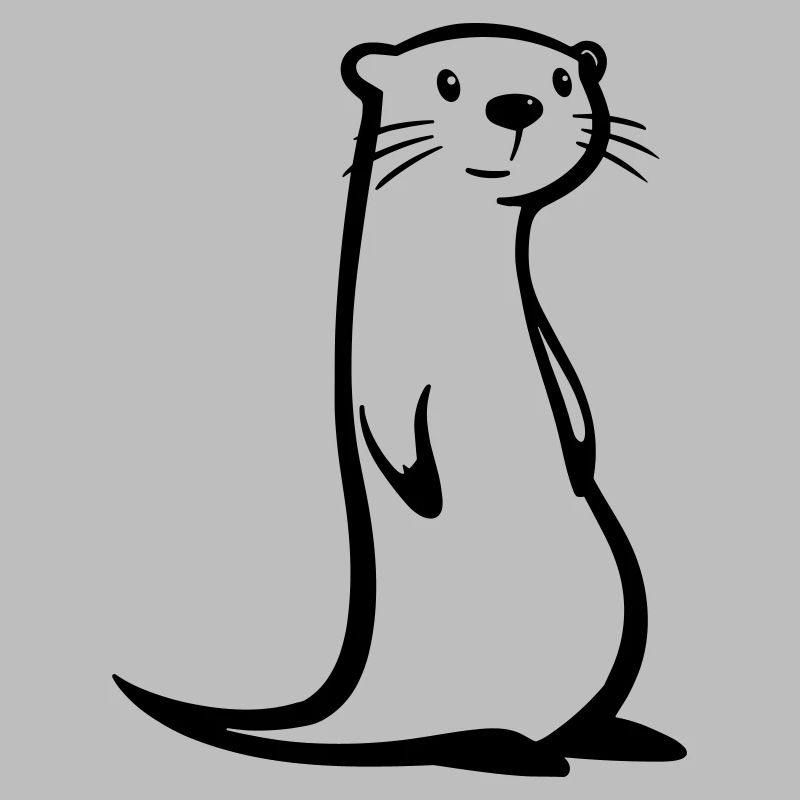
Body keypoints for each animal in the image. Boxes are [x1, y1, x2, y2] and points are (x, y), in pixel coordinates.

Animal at [113, 24, 685, 777]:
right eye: (448, 82)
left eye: (564, 80)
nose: (517, 104)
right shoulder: (389, 355)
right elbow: (386, 421)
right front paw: (417, 482)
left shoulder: (540, 333)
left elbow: (570, 388)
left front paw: (582, 454)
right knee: (453, 738)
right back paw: (511, 752)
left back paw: (617, 737)